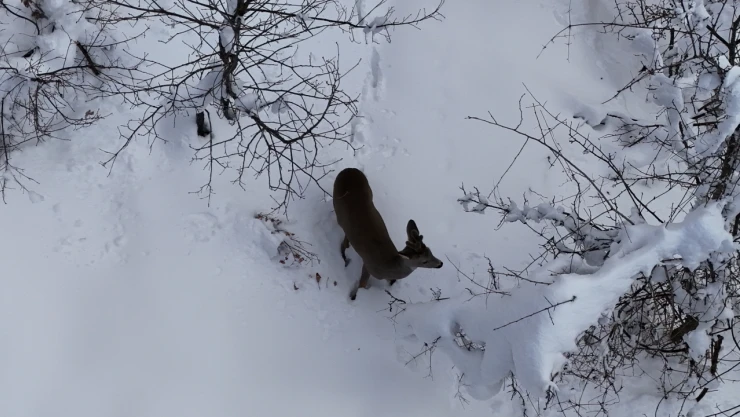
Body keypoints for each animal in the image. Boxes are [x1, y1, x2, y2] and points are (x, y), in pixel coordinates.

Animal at [332, 167, 443, 300]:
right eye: (424, 261)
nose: (440, 264)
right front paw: (354, 297)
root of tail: (348, 169)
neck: (388, 266)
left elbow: (391, 281)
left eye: (430, 252)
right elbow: (362, 284)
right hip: (338, 209)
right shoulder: (369, 266)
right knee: (344, 235)